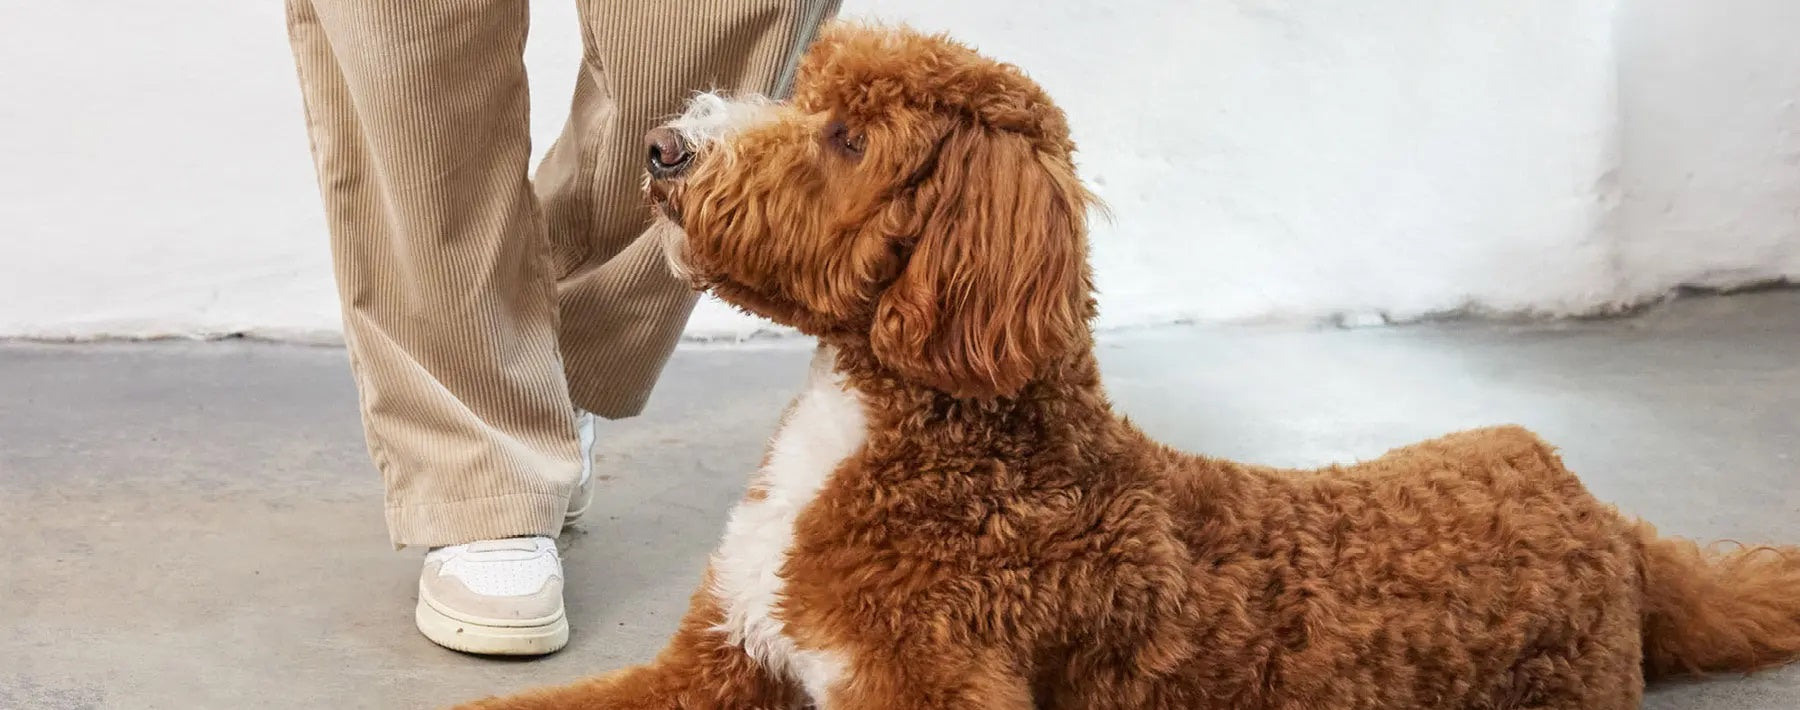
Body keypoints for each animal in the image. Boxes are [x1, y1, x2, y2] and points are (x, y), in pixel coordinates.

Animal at [457, 22, 1800, 710]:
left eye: (846, 137)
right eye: (806, 91)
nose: (664, 147)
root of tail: (1613, 524)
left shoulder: (930, 686)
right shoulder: (719, 661)